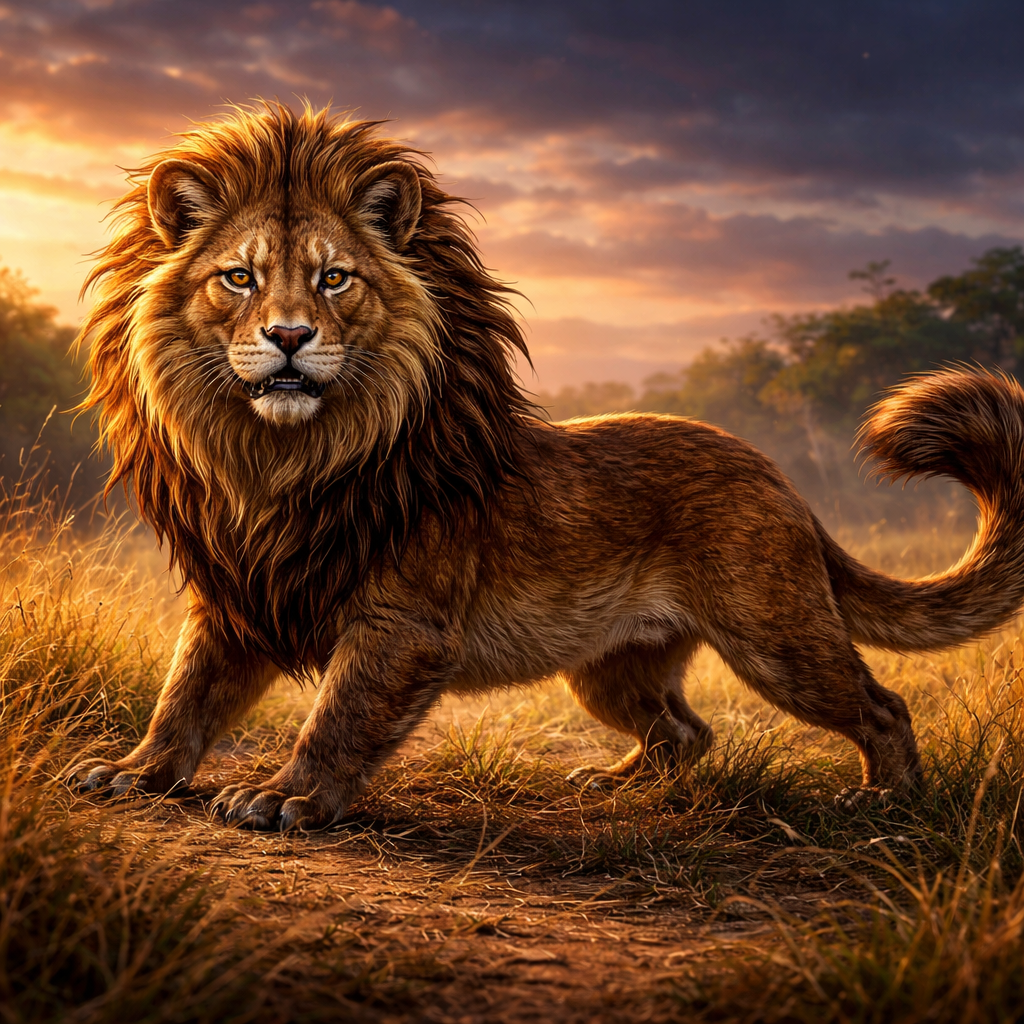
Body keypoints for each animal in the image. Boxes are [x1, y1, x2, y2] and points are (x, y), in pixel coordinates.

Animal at [69, 103, 1024, 829]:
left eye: (336, 278)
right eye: (238, 277)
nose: (291, 336)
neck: (279, 459)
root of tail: (776, 474)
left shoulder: (401, 622)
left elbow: (336, 718)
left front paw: (284, 800)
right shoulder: (237, 596)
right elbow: (185, 695)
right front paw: (134, 772)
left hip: (778, 637)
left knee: (879, 706)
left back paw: (888, 806)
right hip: (610, 667)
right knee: (685, 731)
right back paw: (611, 783)